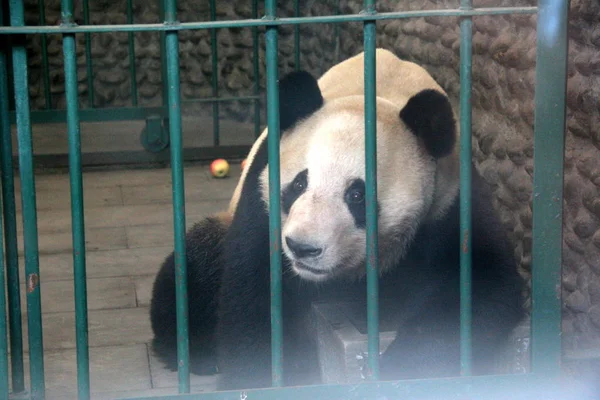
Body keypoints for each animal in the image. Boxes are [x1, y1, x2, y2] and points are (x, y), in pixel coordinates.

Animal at [150, 49, 524, 390]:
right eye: (298, 184)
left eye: (356, 195)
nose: (302, 248)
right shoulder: (263, 194)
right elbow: (254, 294)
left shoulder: (449, 199)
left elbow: (479, 283)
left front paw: (398, 372)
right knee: (196, 263)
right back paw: (195, 352)